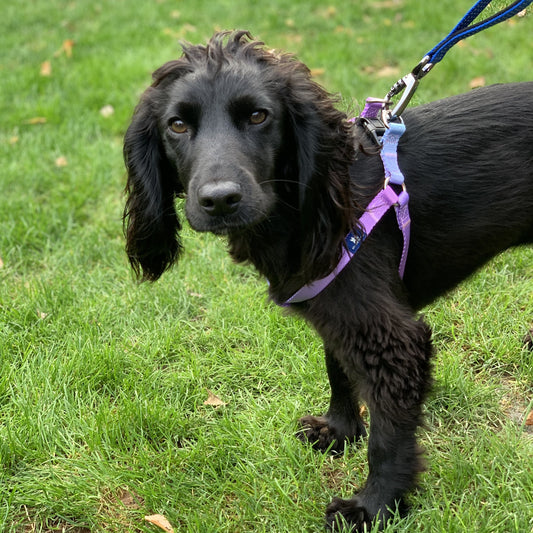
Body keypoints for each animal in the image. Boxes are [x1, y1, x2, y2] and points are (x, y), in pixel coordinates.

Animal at [124, 32, 532, 528]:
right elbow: (337, 370)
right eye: (178, 125)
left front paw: (375, 507)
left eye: (259, 116)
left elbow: (387, 440)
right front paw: (339, 432)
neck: (310, 203)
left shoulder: (393, 339)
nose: (220, 200)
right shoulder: (334, 312)